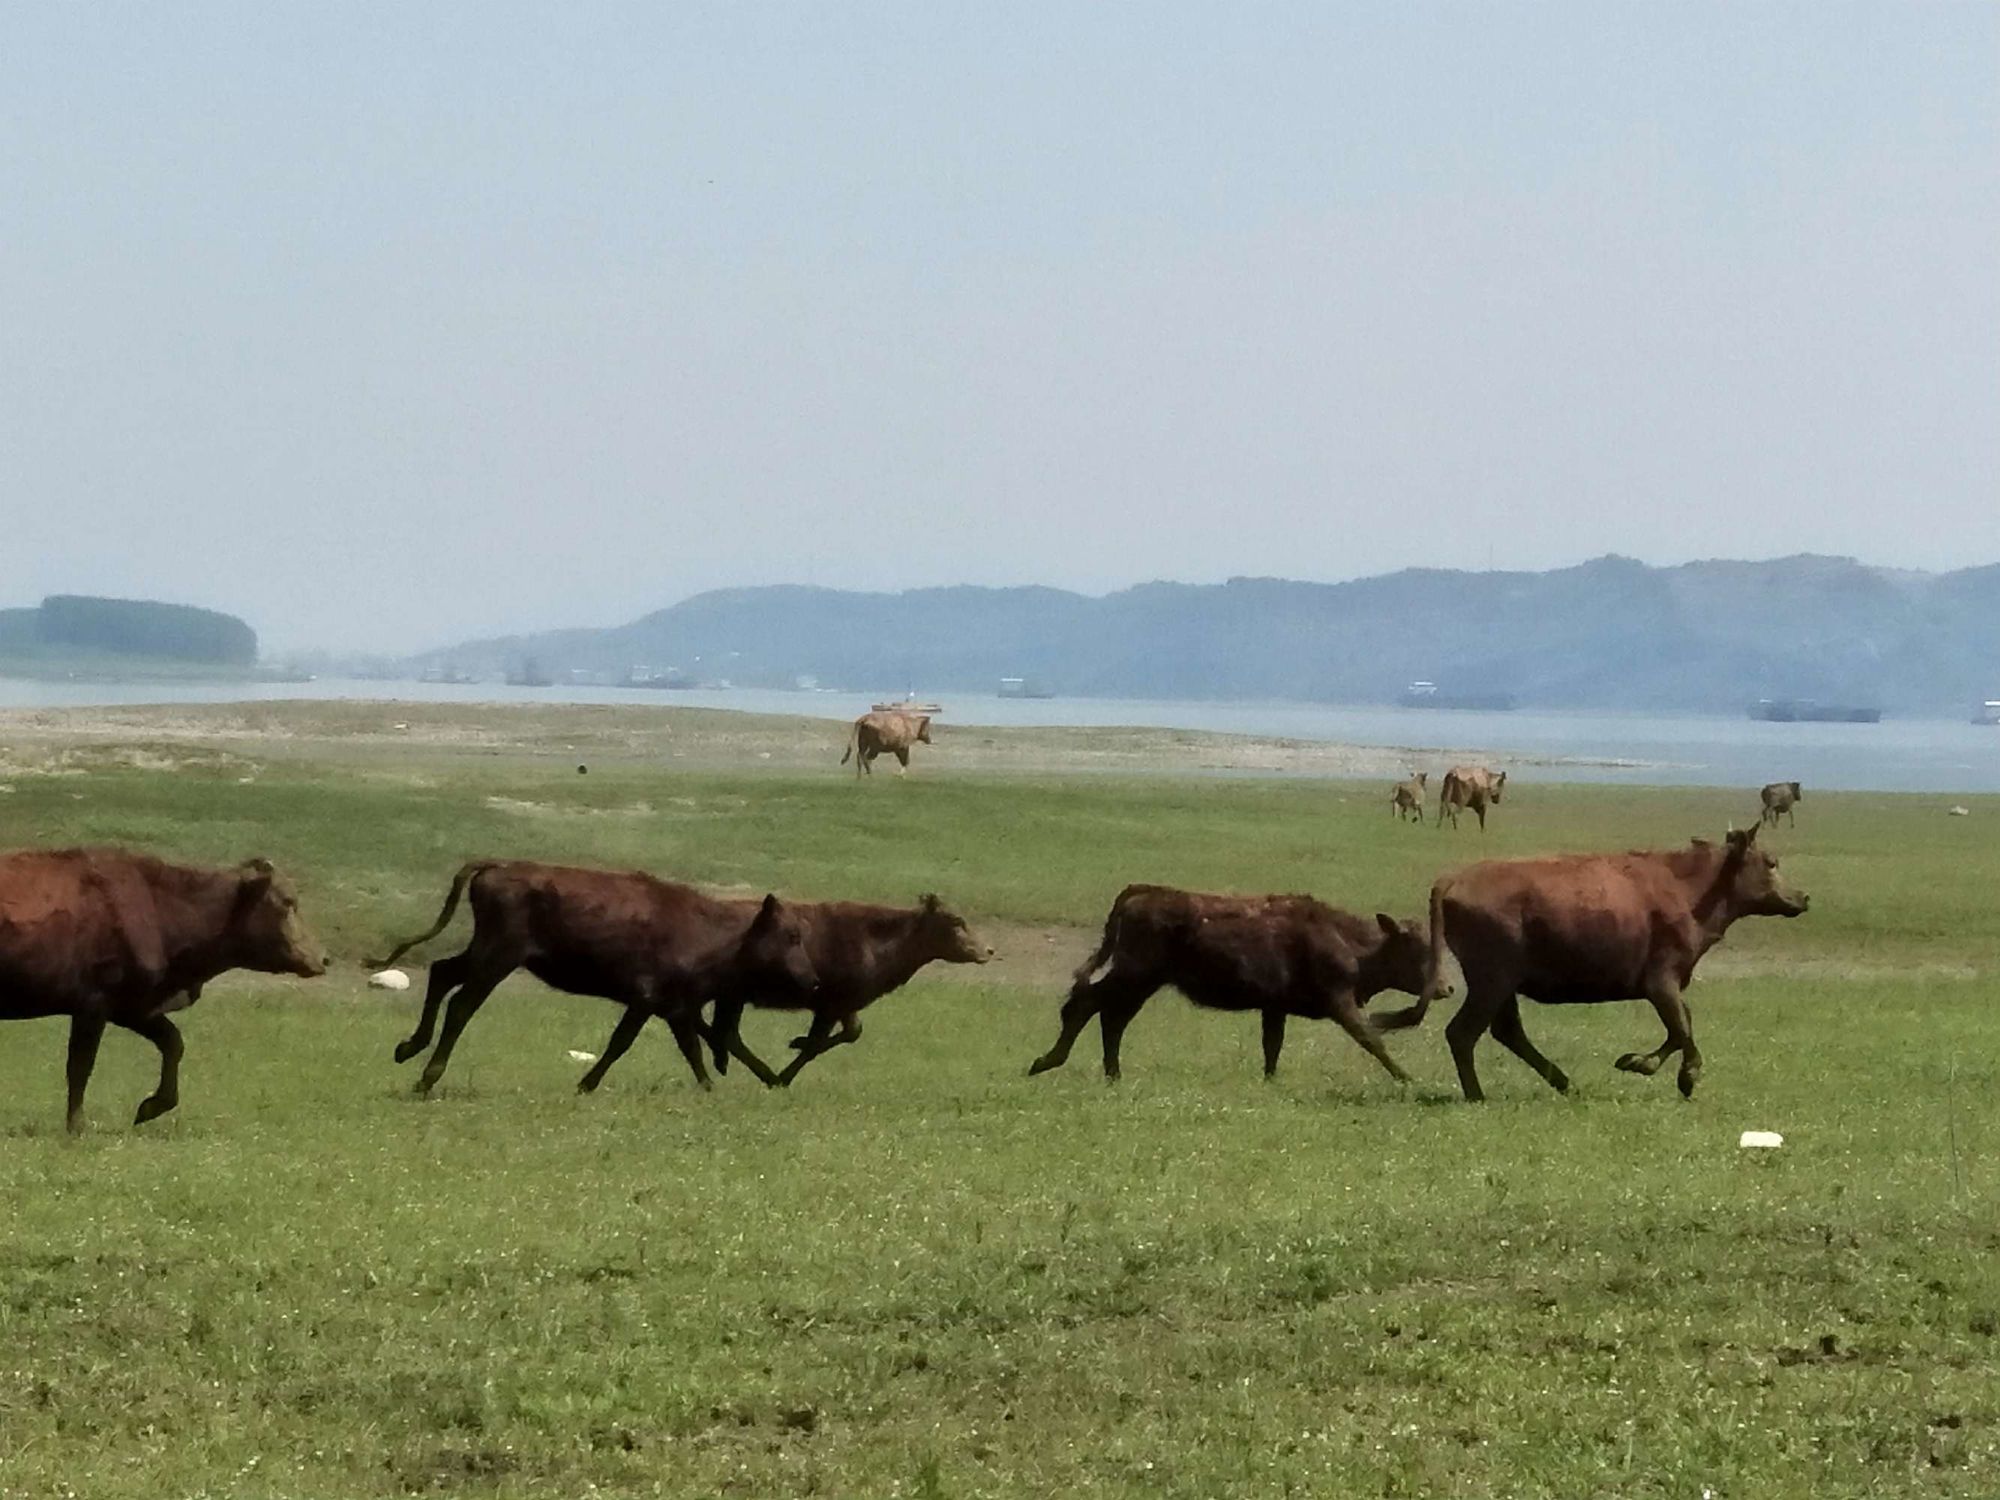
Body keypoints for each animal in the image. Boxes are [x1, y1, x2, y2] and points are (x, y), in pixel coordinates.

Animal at [0, 852, 326, 1136]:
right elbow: (80, 1067)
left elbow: (173, 1042)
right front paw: (77, 1126)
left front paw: (149, 1108)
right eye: (287, 902)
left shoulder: (132, 1008)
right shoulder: (93, 1006)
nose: (323, 958)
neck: (157, 903)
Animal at [372, 864, 816, 1096]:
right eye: (791, 936)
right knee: (461, 1006)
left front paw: (710, 1087)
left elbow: (692, 1050)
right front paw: (586, 1083)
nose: (812, 980)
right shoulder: (646, 1000)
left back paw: (408, 1048)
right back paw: (427, 1077)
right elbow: (621, 1042)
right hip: (496, 960)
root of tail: (495, 867)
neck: (713, 933)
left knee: (441, 972)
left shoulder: (675, 1008)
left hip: (483, 955)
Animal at [704, 892, 1000, 1096]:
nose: (988, 950)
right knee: (726, 1033)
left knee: (727, 1034)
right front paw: (786, 1070)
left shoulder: (847, 1003)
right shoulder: (830, 1003)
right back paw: (766, 1075)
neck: (874, 945)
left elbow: (852, 1032)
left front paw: (795, 1044)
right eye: (955, 921)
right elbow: (815, 1044)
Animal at [1032, 888, 1440, 1088]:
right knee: (1086, 1004)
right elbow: (1372, 1039)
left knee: (1111, 1017)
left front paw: (1271, 1080)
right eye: (1415, 949)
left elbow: (1272, 1046)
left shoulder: (1274, 1008)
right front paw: (1406, 1078)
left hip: (1142, 984)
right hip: (1134, 977)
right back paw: (1045, 1062)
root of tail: (1136, 897)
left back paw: (1112, 1074)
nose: (1446, 987)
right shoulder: (1339, 1002)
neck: (1349, 941)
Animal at [1384, 824, 1808, 1104]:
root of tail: (1454, 879)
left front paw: (1644, 1064)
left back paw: (1565, 1084)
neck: (1689, 887)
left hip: (1502, 986)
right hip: (1492, 982)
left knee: (1506, 1032)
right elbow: (1681, 1028)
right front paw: (1672, 1073)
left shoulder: (1666, 986)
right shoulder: (1661, 983)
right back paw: (1479, 1095)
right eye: (1771, 862)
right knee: (1464, 1032)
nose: (1802, 897)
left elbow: (1681, 1026)